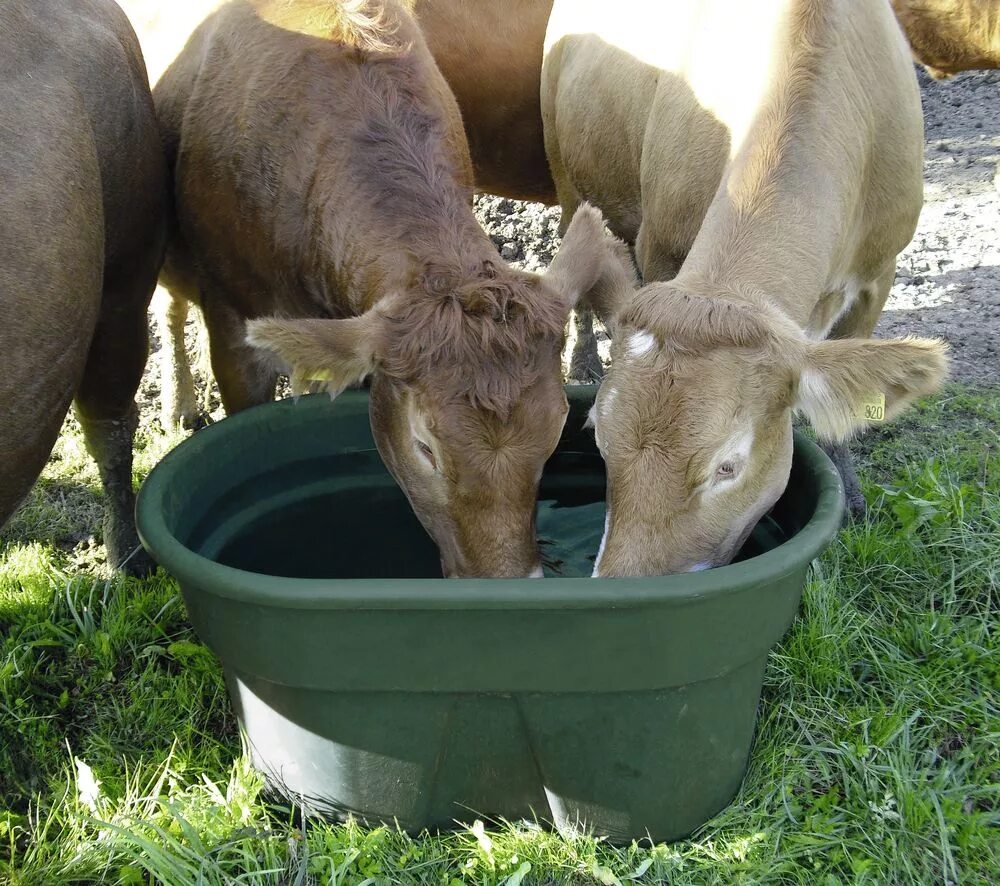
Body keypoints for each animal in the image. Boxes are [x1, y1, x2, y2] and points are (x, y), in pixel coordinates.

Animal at [544, 0, 948, 580]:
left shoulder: (879, 272)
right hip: (564, 166)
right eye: (598, 436)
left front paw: (850, 496)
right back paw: (582, 359)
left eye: (727, 467)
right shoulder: (660, 247)